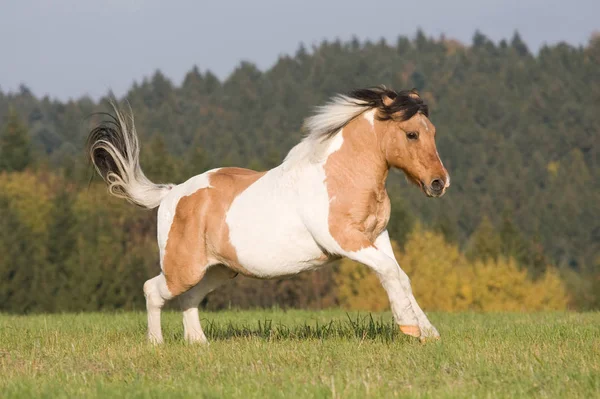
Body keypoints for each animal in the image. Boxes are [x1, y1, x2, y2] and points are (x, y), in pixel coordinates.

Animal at [85, 86, 450, 344]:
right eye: (411, 134)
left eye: (433, 131)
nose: (439, 183)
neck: (341, 175)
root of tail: (170, 194)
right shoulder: (345, 240)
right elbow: (390, 272)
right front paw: (409, 328)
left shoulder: (377, 236)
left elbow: (401, 276)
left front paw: (429, 333)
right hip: (183, 269)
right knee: (153, 289)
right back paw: (157, 344)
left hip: (218, 270)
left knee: (189, 298)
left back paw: (199, 343)